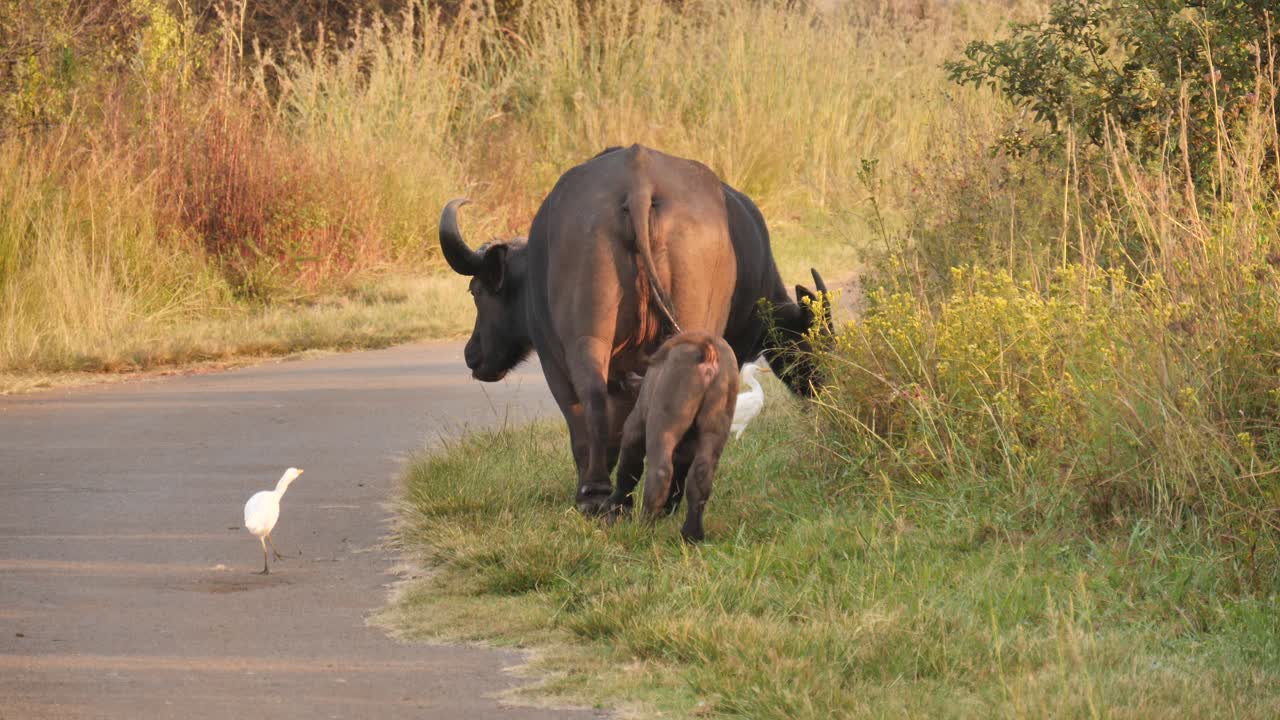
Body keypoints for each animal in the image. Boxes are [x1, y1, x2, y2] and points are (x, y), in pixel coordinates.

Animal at [439, 144, 830, 514]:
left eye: (475, 290)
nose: (471, 354)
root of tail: (638, 184)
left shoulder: (554, 359)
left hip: (587, 338)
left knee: (593, 402)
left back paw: (600, 495)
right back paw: (660, 497)